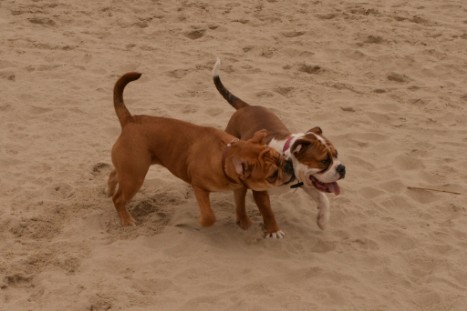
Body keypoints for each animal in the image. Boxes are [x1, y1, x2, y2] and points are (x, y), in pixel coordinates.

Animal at [214, 58, 346, 236]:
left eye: (337, 155)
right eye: (324, 161)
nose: (342, 168)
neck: (288, 159)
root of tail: (246, 106)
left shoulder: (305, 182)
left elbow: (323, 199)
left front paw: (323, 220)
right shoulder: (261, 192)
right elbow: (267, 211)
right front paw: (274, 230)